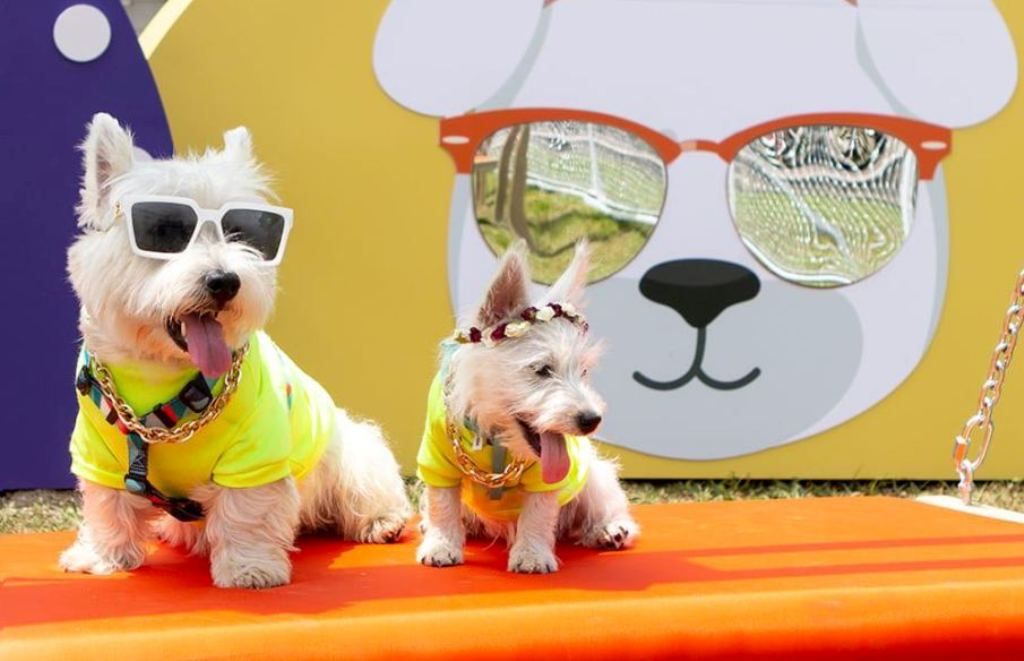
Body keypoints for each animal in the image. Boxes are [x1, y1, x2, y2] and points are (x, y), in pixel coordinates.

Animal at [59, 112, 409, 589]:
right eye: (165, 231)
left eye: (242, 232)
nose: (224, 282)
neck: (163, 377)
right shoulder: (96, 450)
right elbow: (107, 505)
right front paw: (103, 557)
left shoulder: (256, 452)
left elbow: (247, 511)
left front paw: (249, 567)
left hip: (353, 453)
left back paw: (382, 522)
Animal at [415, 240, 638, 573]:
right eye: (542, 369)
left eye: (583, 370)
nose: (592, 420)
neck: (495, 437)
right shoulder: (436, 460)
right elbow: (442, 503)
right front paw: (441, 545)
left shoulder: (547, 477)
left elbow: (538, 513)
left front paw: (531, 555)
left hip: (593, 476)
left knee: (605, 503)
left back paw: (610, 529)